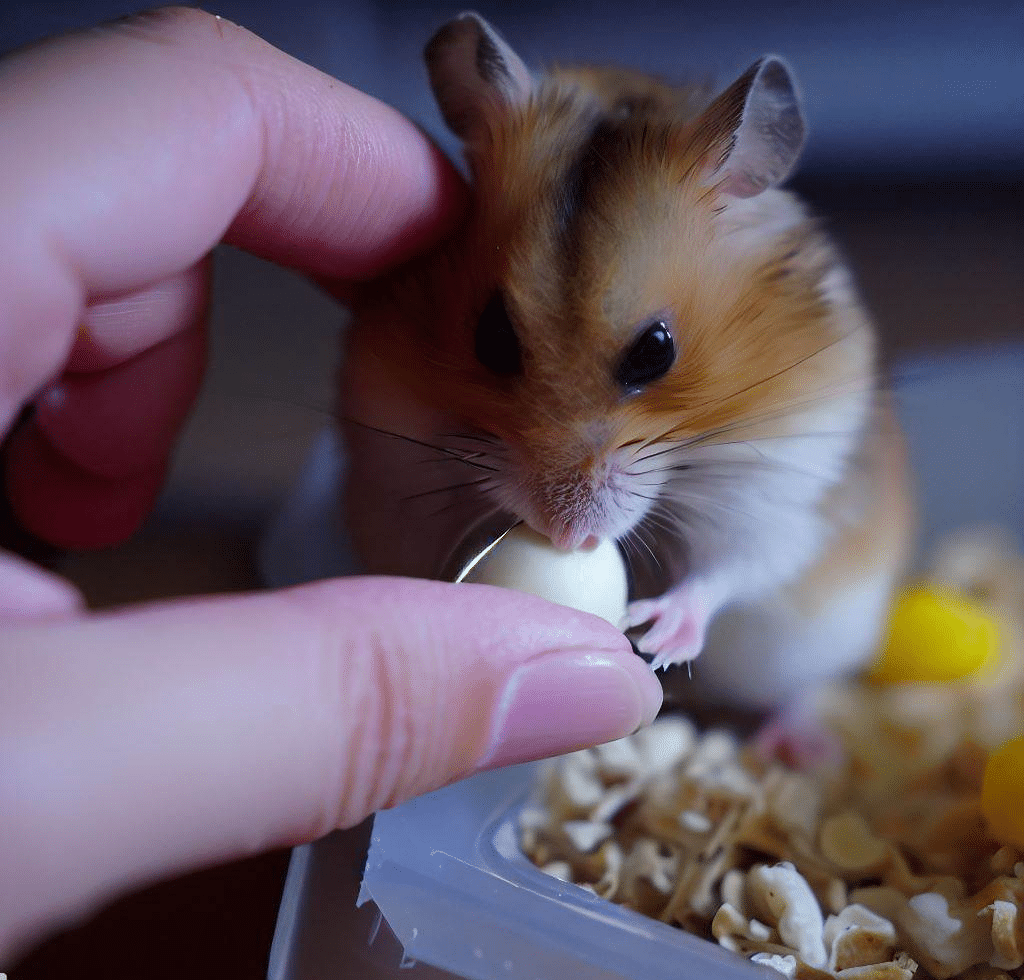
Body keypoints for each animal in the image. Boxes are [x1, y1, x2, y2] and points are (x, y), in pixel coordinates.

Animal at [339, 11, 917, 708]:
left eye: (656, 351)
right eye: (492, 339)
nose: (567, 539)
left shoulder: (787, 484)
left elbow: (733, 566)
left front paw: (655, 633)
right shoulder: (390, 462)